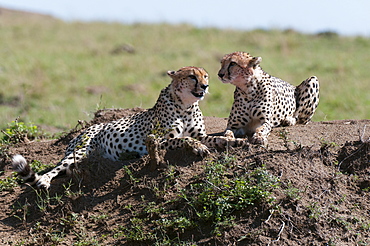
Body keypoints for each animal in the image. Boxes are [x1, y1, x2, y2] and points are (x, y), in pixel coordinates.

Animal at [11, 66, 243, 189]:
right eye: (192, 76)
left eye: (205, 76)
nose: (205, 86)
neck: (186, 105)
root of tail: (82, 131)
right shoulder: (159, 139)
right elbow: (184, 138)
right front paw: (198, 148)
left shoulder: (201, 133)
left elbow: (214, 137)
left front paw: (234, 140)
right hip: (79, 152)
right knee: (56, 169)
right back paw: (43, 180)